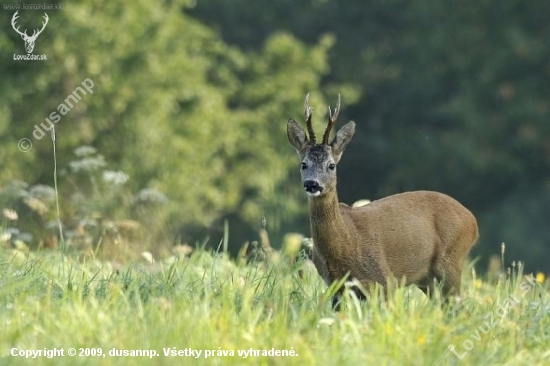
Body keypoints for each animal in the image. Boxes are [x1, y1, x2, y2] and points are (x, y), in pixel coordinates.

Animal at [286, 93, 480, 306]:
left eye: (331, 165)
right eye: (303, 164)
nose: (312, 184)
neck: (346, 242)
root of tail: (473, 221)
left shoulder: (383, 278)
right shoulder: (335, 285)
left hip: (451, 260)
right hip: (426, 277)